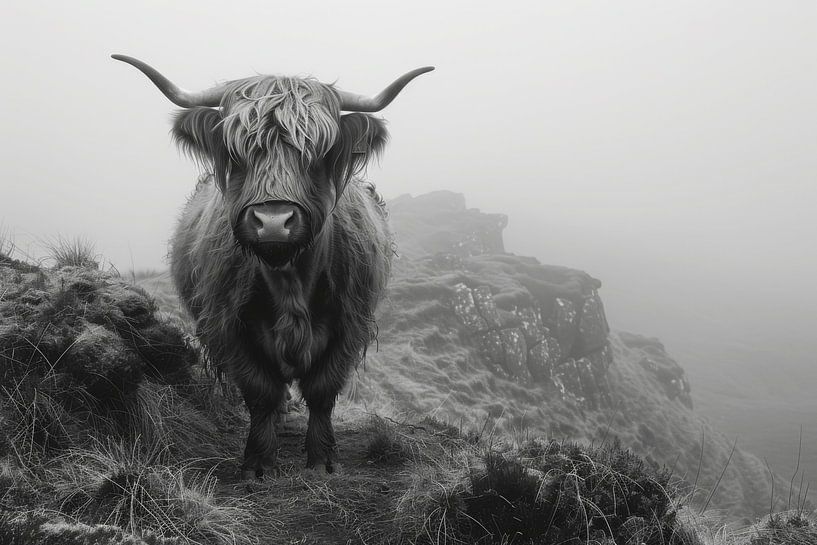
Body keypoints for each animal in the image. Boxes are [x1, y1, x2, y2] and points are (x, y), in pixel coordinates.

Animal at [112, 55, 432, 477]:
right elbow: (260, 391)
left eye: (319, 153)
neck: (289, 279)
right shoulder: (228, 327)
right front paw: (259, 461)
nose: (275, 222)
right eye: (237, 153)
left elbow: (322, 390)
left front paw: (322, 460)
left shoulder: (349, 324)